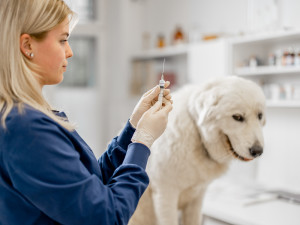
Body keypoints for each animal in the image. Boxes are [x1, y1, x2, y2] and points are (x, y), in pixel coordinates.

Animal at [128, 76, 264, 225]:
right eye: (238, 117)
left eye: (260, 116)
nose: (258, 151)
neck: (198, 136)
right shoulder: (166, 196)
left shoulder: (196, 197)